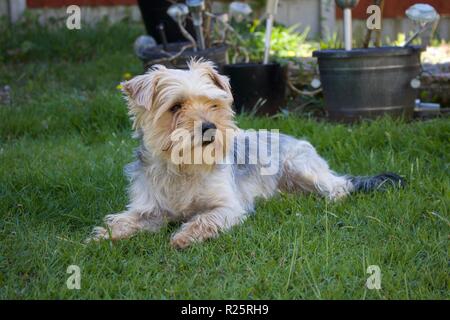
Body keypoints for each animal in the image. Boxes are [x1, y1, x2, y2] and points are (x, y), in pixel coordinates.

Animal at [88, 58, 404, 248]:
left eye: (213, 104)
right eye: (175, 107)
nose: (209, 127)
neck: (184, 166)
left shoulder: (227, 207)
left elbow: (203, 219)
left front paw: (184, 236)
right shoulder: (150, 209)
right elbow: (128, 220)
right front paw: (105, 234)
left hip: (300, 167)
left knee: (339, 186)